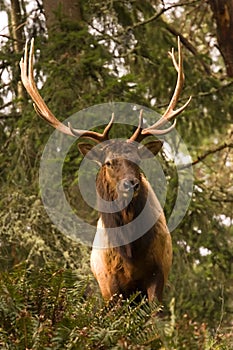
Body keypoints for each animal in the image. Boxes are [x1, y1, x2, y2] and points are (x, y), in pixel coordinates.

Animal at [20, 37, 191, 300]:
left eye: (138, 159)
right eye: (109, 162)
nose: (132, 183)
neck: (130, 251)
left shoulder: (158, 273)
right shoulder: (108, 283)